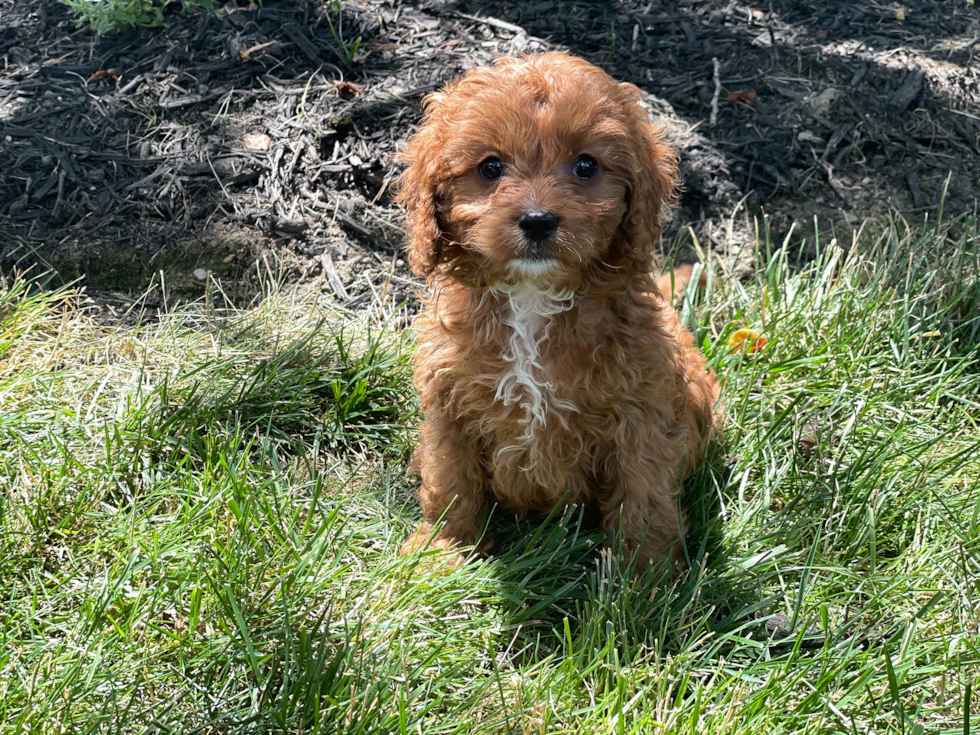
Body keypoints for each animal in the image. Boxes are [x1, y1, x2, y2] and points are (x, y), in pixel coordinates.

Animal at [392, 53, 720, 576]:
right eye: (490, 167)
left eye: (586, 166)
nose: (537, 220)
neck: (532, 297)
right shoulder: (448, 399)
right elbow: (451, 479)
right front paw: (443, 551)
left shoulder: (642, 411)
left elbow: (644, 492)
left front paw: (645, 576)